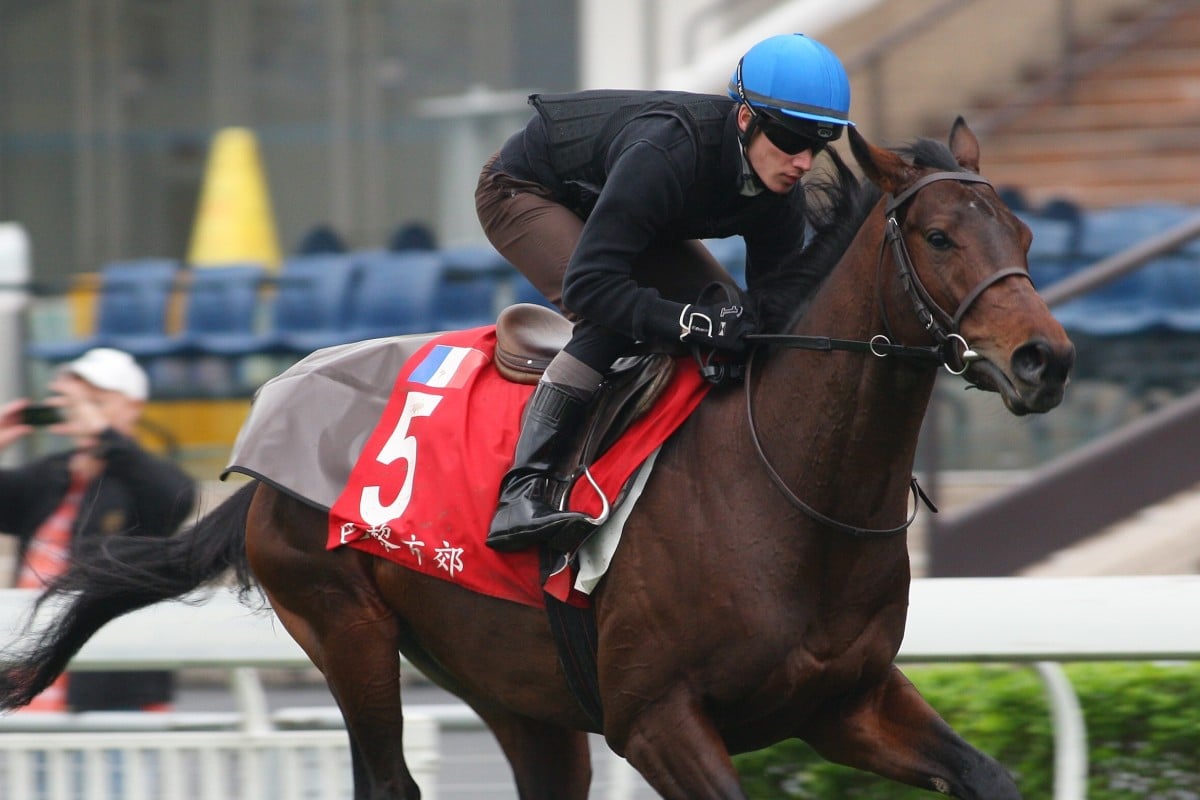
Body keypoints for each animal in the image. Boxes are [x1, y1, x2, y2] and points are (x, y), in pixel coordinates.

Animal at [0, 120, 1075, 800]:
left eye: (1025, 231)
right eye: (938, 234)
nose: (1045, 359)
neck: (790, 493)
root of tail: (264, 452)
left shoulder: (843, 702)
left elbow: (991, 775)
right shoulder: (656, 719)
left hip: (514, 691)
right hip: (346, 628)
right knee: (388, 781)